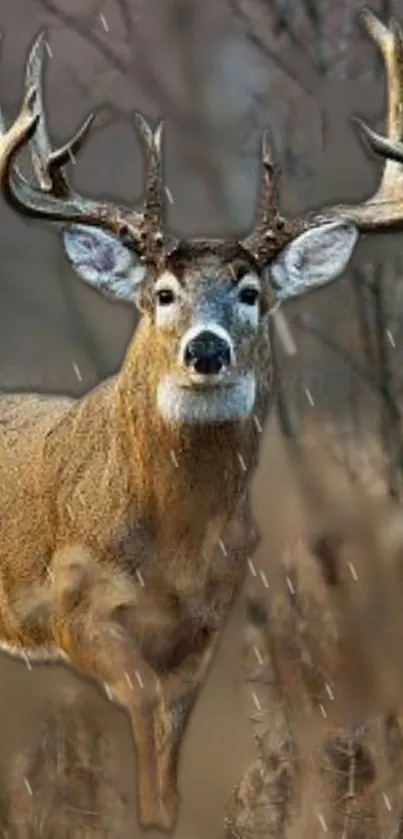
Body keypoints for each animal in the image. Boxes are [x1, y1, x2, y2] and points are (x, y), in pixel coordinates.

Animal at [0, 6, 403, 832]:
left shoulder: (205, 627)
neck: (174, 547)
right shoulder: (73, 606)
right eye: (161, 292)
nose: (207, 348)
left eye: (250, 291)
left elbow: (169, 754)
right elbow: (140, 706)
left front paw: (163, 815)